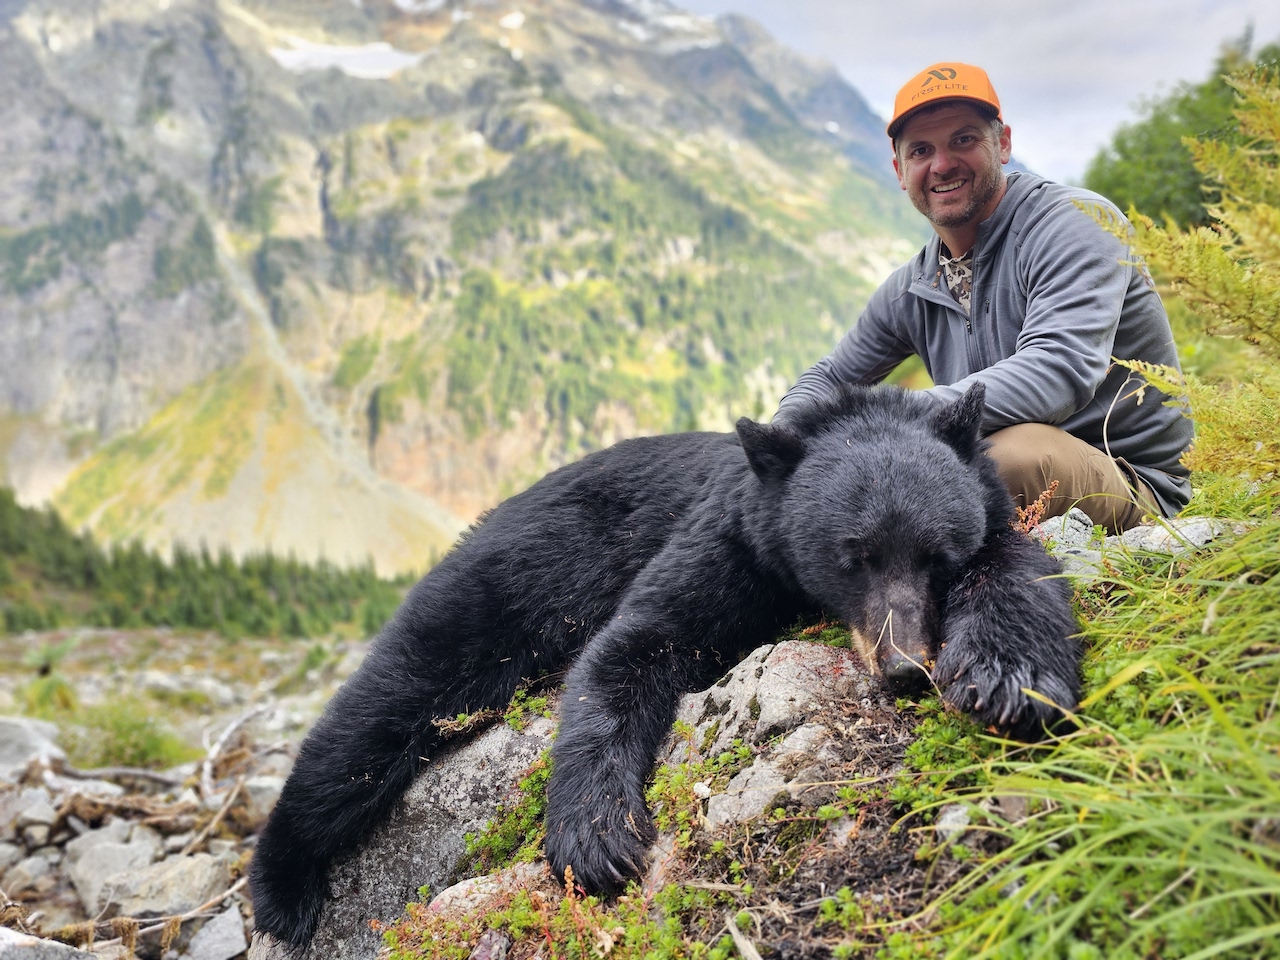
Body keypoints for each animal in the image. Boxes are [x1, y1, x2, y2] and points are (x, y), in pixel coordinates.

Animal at [248, 383, 1080, 949]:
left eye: (938, 555)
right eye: (855, 555)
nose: (905, 663)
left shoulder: (989, 517)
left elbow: (1019, 572)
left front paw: (1009, 680)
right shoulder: (723, 540)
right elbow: (635, 642)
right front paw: (596, 838)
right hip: (500, 586)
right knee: (383, 709)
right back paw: (282, 891)